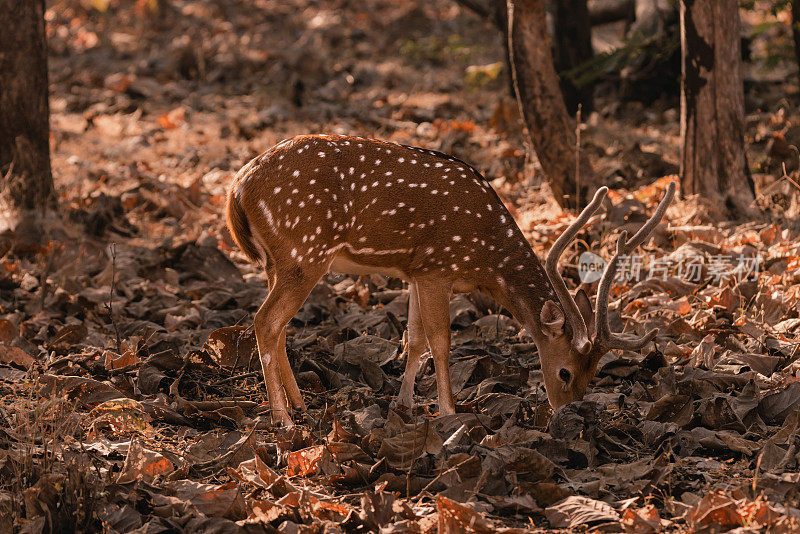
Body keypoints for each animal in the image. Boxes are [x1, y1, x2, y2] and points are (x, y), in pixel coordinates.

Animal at [227, 134, 676, 428]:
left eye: (592, 376)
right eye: (565, 373)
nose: (568, 412)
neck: (484, 259)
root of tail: (237, 188)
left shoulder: (414, 270)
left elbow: (413, 338)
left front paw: (405, 404)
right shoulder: (437, 267)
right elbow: (441, 341)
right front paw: (448, 411)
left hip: (278, 262)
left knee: (279, 326)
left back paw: (300, 406)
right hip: (304, 252)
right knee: (265, 321)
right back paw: (283, 419)